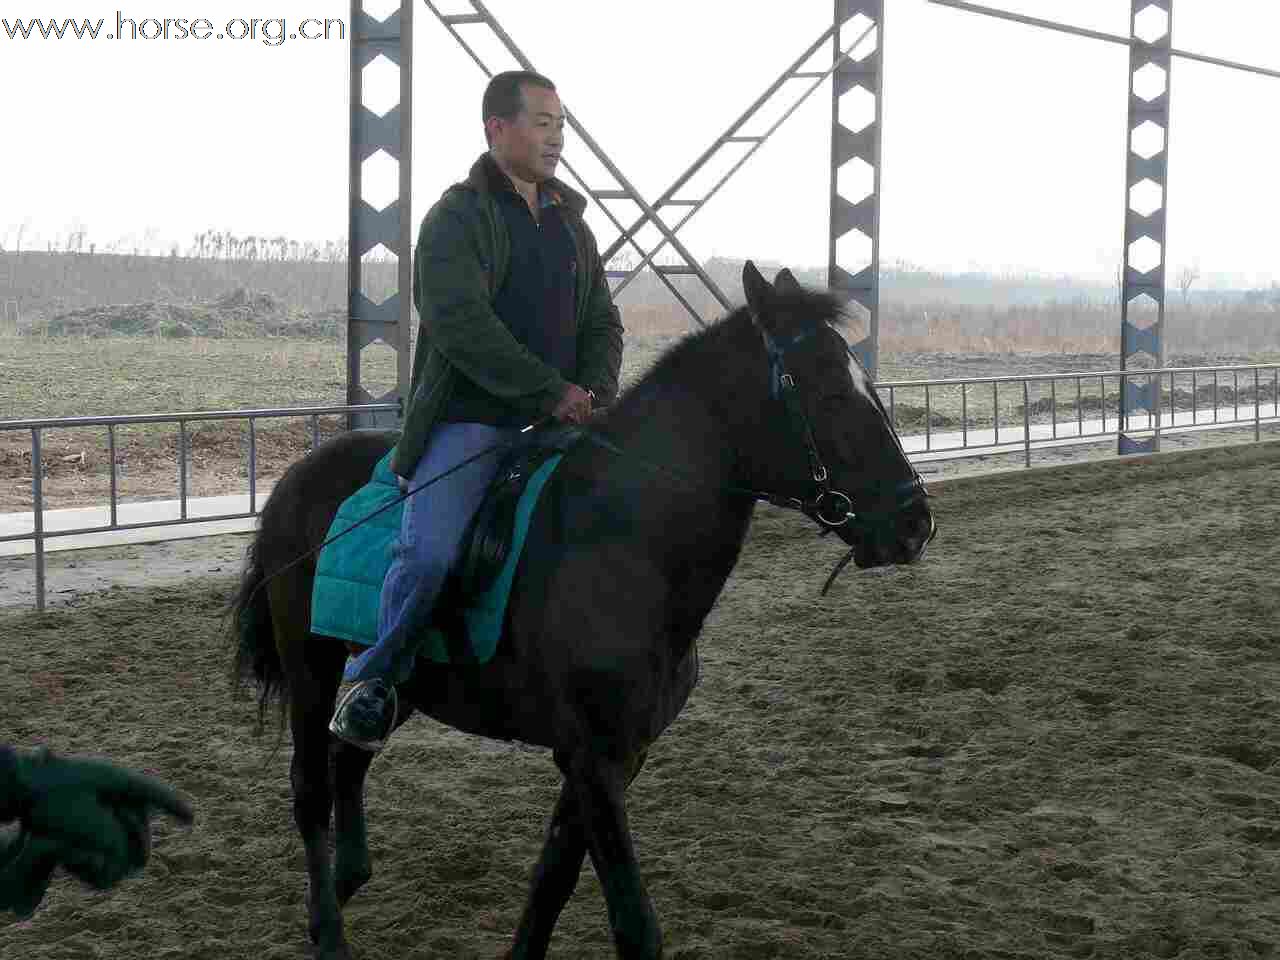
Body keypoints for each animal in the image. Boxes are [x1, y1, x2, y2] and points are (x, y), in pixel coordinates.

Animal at [227, 263, 931, 960]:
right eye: (831, 394)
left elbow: (552, 883)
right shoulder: (594, 759)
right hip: (311, 668)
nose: (914, 522)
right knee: (311, 789)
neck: (625, 543)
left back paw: (347, 881)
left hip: (394, 676)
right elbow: (632, 924)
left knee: (350, 758)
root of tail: (294, 480)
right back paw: (328, 930)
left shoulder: (615, 755)